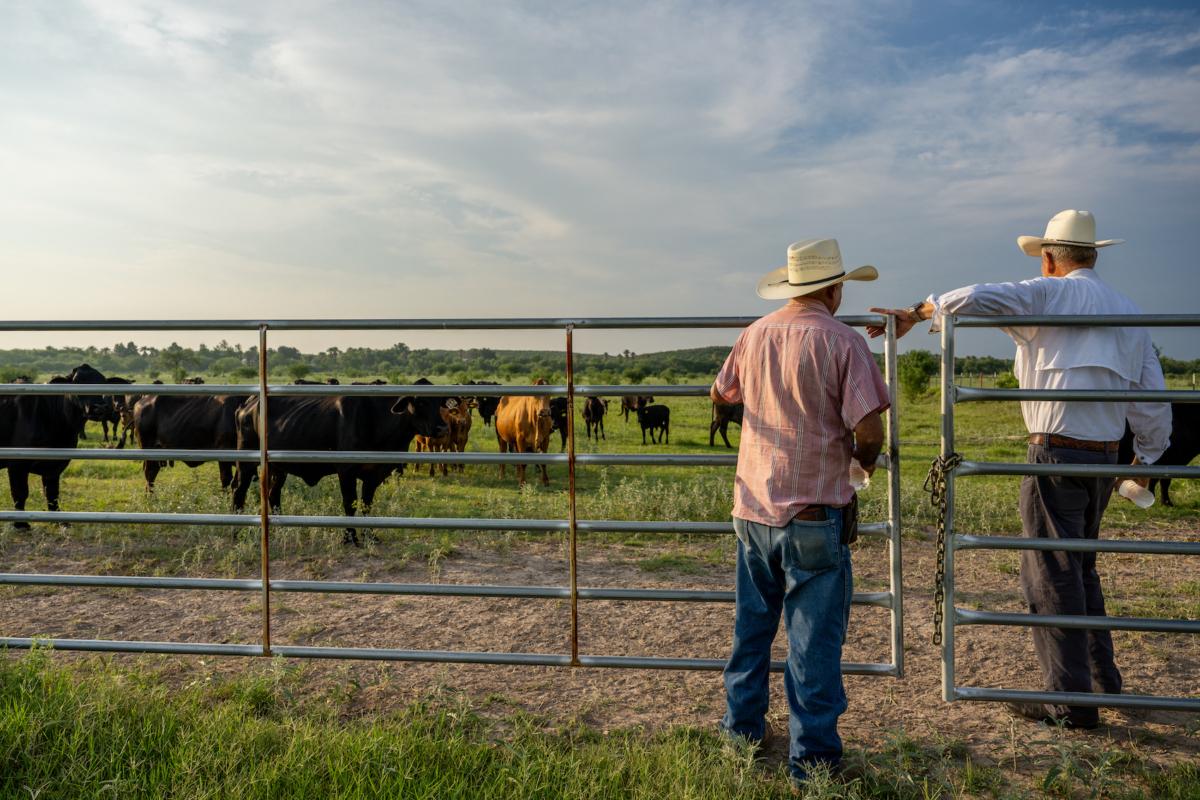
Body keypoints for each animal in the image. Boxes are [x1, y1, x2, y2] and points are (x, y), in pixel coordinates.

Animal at [1, 367, 108, 527]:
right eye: (78, 382)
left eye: (102, 382)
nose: (99, 407)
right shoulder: (17, 463)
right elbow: (20, 493)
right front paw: (21, 524)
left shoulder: (56, 464)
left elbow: (52, 493)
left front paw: (59, 521)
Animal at [231, 379, 448, 546]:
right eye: (421, 402)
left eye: (439, 402)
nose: (442, 428)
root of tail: (248, 403)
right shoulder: (346, 471)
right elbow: (349, 504)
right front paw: (350, 537)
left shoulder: (374, 474)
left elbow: (366, 504)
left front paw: (370, 536)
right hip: (246, 462)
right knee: (239, 491)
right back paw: (236, 532)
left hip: (278, 468)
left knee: (273, 494)